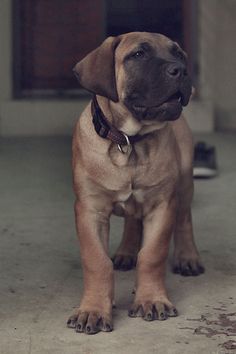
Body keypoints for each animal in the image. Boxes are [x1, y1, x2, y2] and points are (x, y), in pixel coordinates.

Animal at [67, 31, 204, 334]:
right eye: (138, 55)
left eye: (178, 54)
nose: (182, 70)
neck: (130, 141)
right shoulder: (90, 210)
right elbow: (96, 260)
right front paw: (93, 310)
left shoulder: (162, 206)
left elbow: (152, 254)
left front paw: (151, 300)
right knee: (132, 220)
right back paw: (126, 252)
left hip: (185, 181)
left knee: (185, 219)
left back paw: (188, 257)